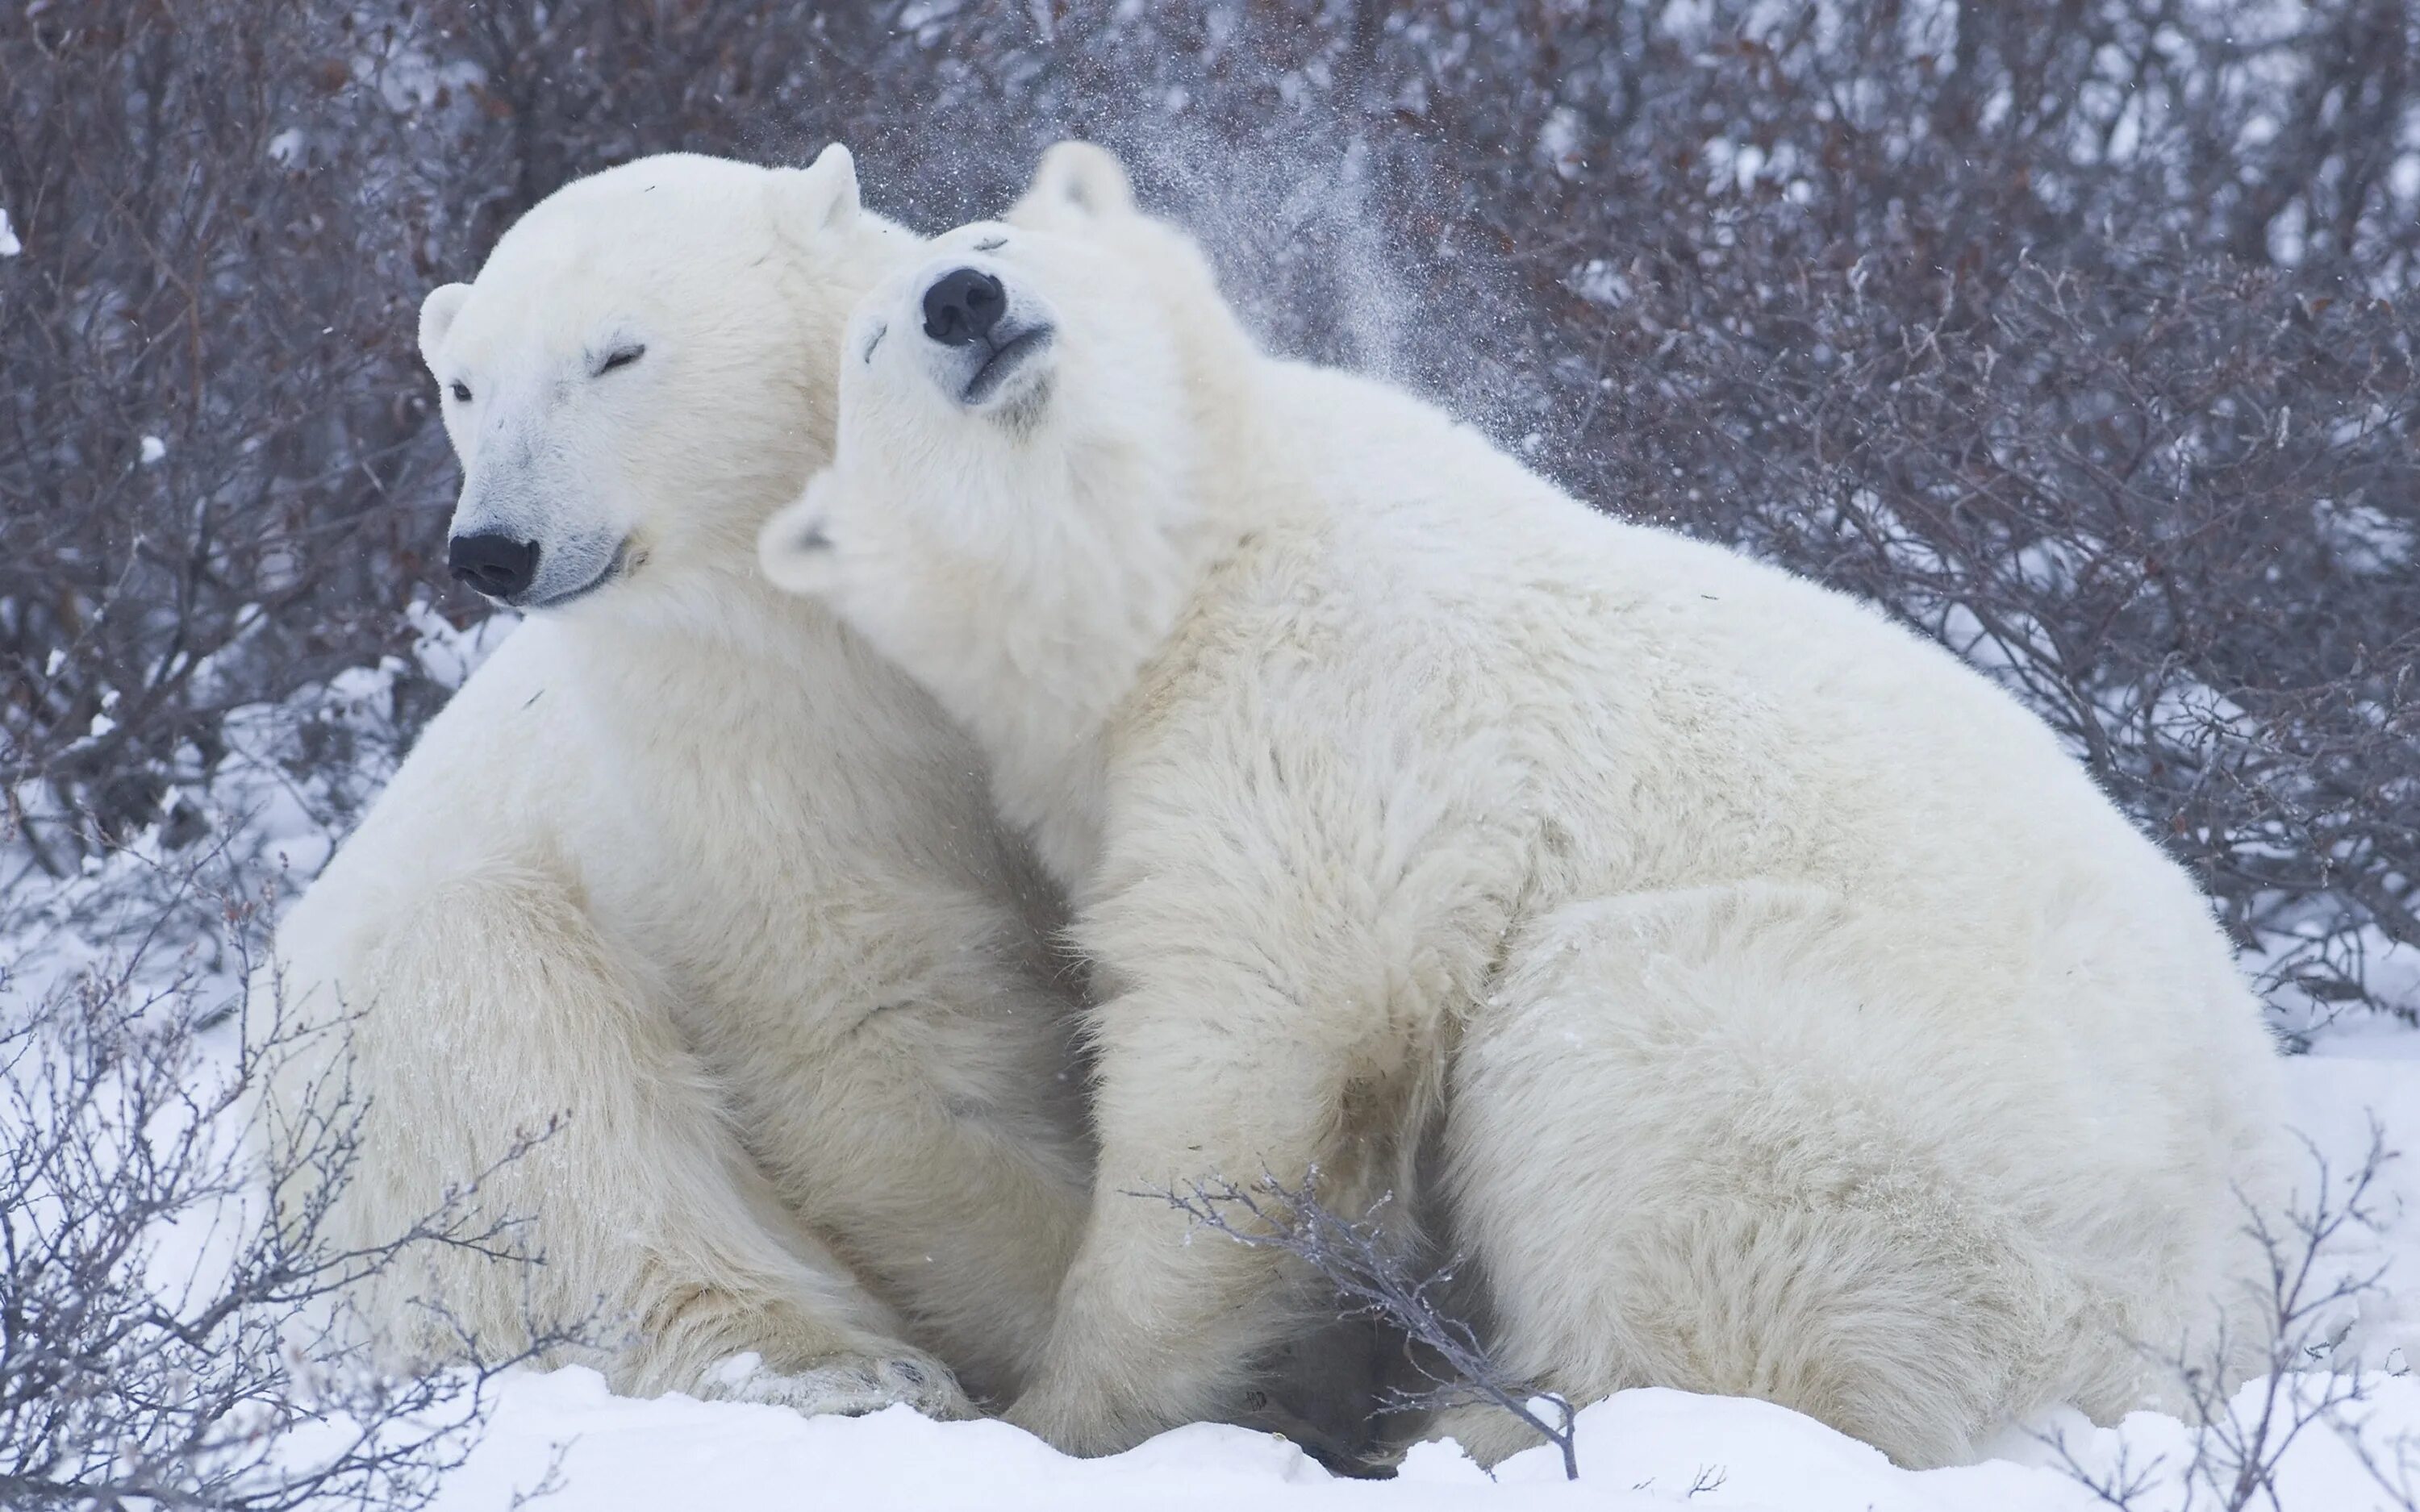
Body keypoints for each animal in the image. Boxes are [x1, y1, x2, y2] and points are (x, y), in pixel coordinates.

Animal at [260, 144, 1094, 1413]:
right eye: (465, 387)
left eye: (617, 353)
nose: (493, 547)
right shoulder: (737, 761)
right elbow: (877, 1042)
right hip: (376, 1123)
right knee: (523, 1050)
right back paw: (840, 1368)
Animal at [765, 144, 2294, 1461]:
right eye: (874, 344)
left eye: (995, 241)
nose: (964, 305)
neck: (1194, 563)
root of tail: (2216, 1317)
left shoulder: (1331, 699)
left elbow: (1262, 1038)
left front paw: (1067, 1413)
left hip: (1906, 1113)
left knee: (1631, 1079)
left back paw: (1489, 1417)